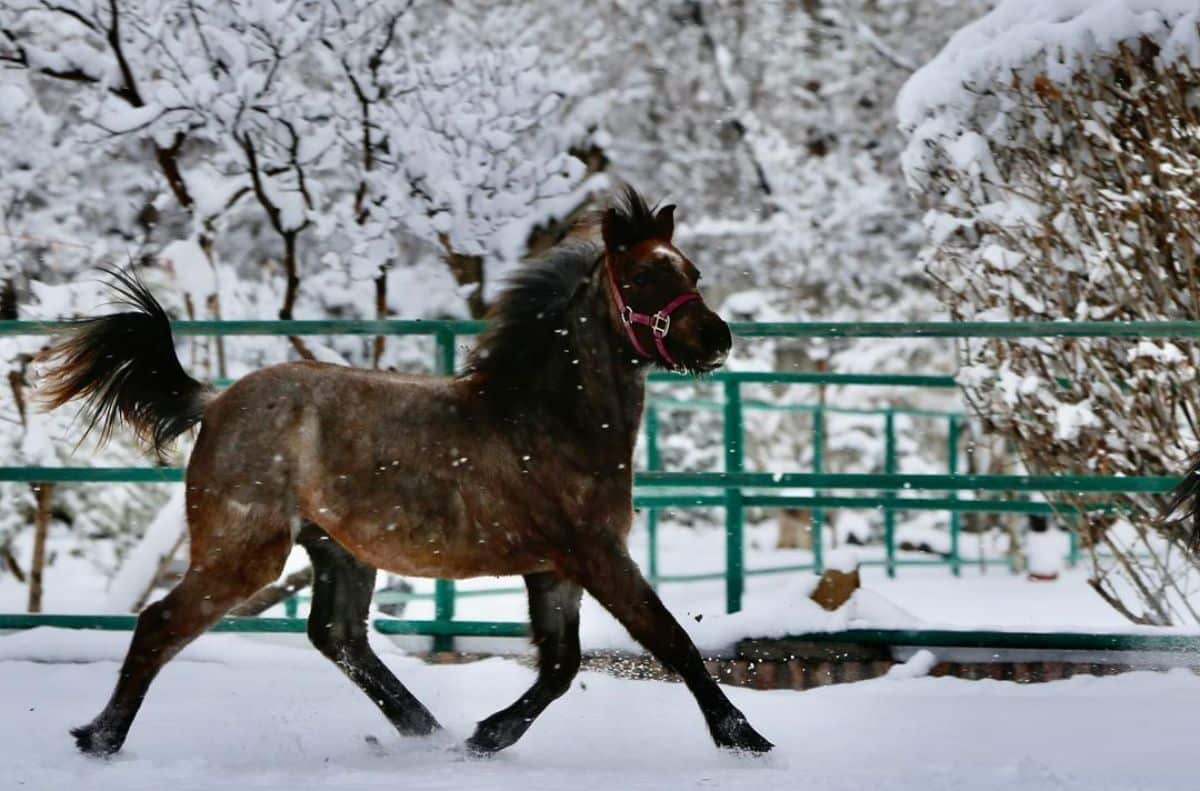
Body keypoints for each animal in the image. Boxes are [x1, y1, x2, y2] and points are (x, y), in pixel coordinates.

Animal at [42, 187, 772, 763]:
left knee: (338, 637)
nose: (718, 337)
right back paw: (98, 738)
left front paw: (485, 736)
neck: (550, 417)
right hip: (244, 551)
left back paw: (427, 729)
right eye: (645, 276)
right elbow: (670, 640)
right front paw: (746, 737)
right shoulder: (598, 555)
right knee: (161, 622)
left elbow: (561, 665)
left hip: (338, 551)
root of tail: (216, 401)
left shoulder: (554, 567)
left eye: (691, 268)